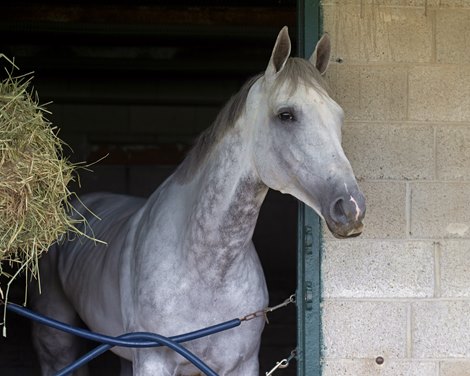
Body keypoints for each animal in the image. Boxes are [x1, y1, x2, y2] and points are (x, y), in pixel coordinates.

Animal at [31, 27, 366, 376]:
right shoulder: (153, 361)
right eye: (286, 115)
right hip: (56, 337)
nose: (351, 207)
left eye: (339, 117)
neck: (206, 269)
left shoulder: (242, 365)